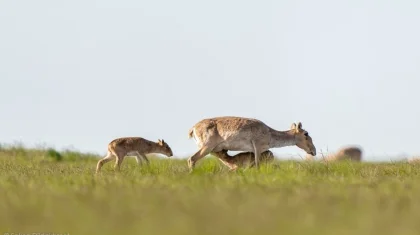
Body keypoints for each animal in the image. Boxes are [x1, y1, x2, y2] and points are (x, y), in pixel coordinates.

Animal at [187, 116, 316, 170]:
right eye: (306, 134)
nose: (314, 151)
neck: (270, 134)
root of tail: (193, 128)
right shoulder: (258, 148)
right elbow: (257, 165)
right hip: (207, 147)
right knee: (191, 159)